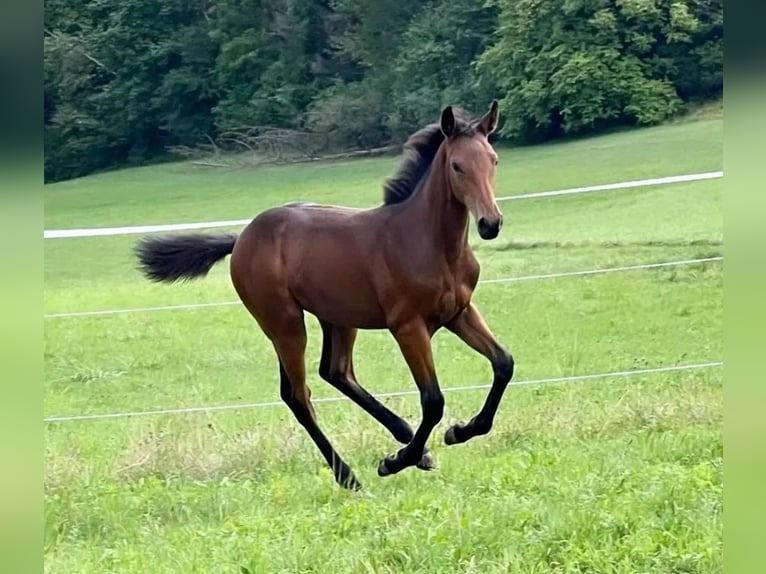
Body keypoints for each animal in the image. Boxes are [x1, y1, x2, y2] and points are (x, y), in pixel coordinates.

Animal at [136, 102, 516, 490]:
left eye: (493, 160)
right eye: (457, 165)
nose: (490, 224)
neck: (429, 243)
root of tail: (241, 238)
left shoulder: (460, 313)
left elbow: (504, 363)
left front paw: (459, 432)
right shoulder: (408, 326)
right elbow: (433, 400)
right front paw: (395, 461)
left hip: (337, 317)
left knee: (335, 371)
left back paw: (406, 440)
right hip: (284, 323)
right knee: (298, 395)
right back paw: (350, 474)